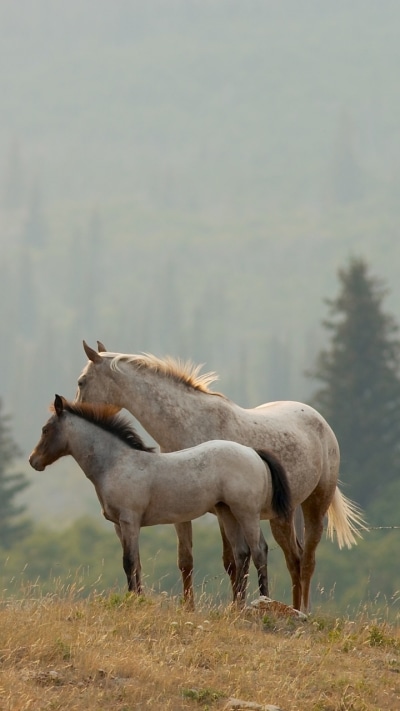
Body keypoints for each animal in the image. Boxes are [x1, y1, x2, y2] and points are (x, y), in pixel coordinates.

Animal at [29, 395, 292, 604]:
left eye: (45, 430)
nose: (33, 461)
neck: (116, 463)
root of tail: (252, 452)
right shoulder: (119, 526)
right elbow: (136, 563)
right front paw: (138, 598)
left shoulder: (129, 521)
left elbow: (129, 562)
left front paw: (134, 601)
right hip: (227, 511)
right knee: (241, 554)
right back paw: (236, 607)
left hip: (247, 512)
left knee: (259, 551)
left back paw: (263, 602)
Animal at [74, 340, 366, 613]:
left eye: (81, 381)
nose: (75, 411)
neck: (190, 423)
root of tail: (320, 421)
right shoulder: (184, 511)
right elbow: (188, 560)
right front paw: (190, 607)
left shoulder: (223, 511)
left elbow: (234, 561)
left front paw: (236, 605)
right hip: (282, 516)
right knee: (294, 559)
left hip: (315, 505)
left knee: (306, 561)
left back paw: (302, 611)